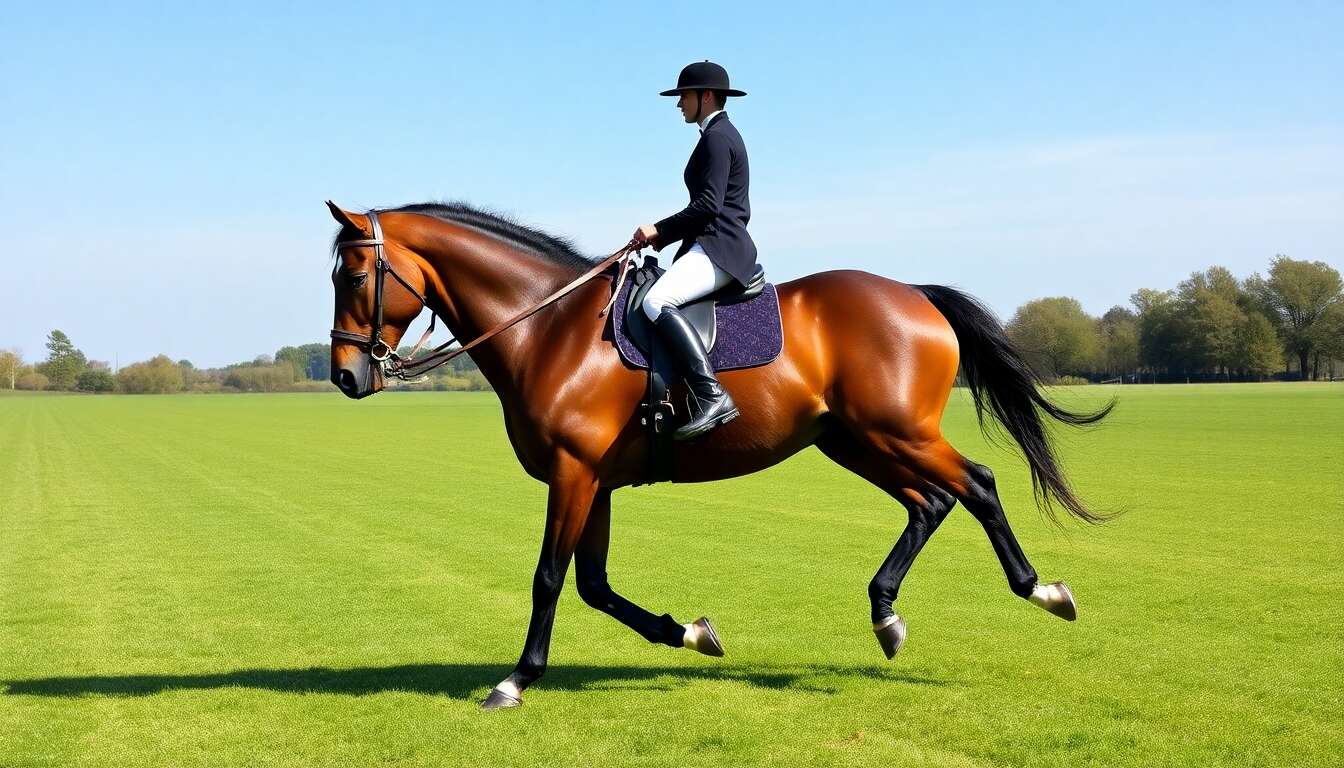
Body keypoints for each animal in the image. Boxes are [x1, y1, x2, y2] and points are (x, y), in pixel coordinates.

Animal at [325, 201, 1112, 710]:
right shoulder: (595, 482)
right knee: (932, 501)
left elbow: (549, 579)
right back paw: (885, 616)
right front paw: (692, 633)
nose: (346, 377)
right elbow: (595, 587)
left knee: (976, 485)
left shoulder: (574, 473)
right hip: (854, 442)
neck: (549, 327)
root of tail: (913, 295)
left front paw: (515, 681)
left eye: (354, 278)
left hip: (898, 434)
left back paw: (1042, 590)